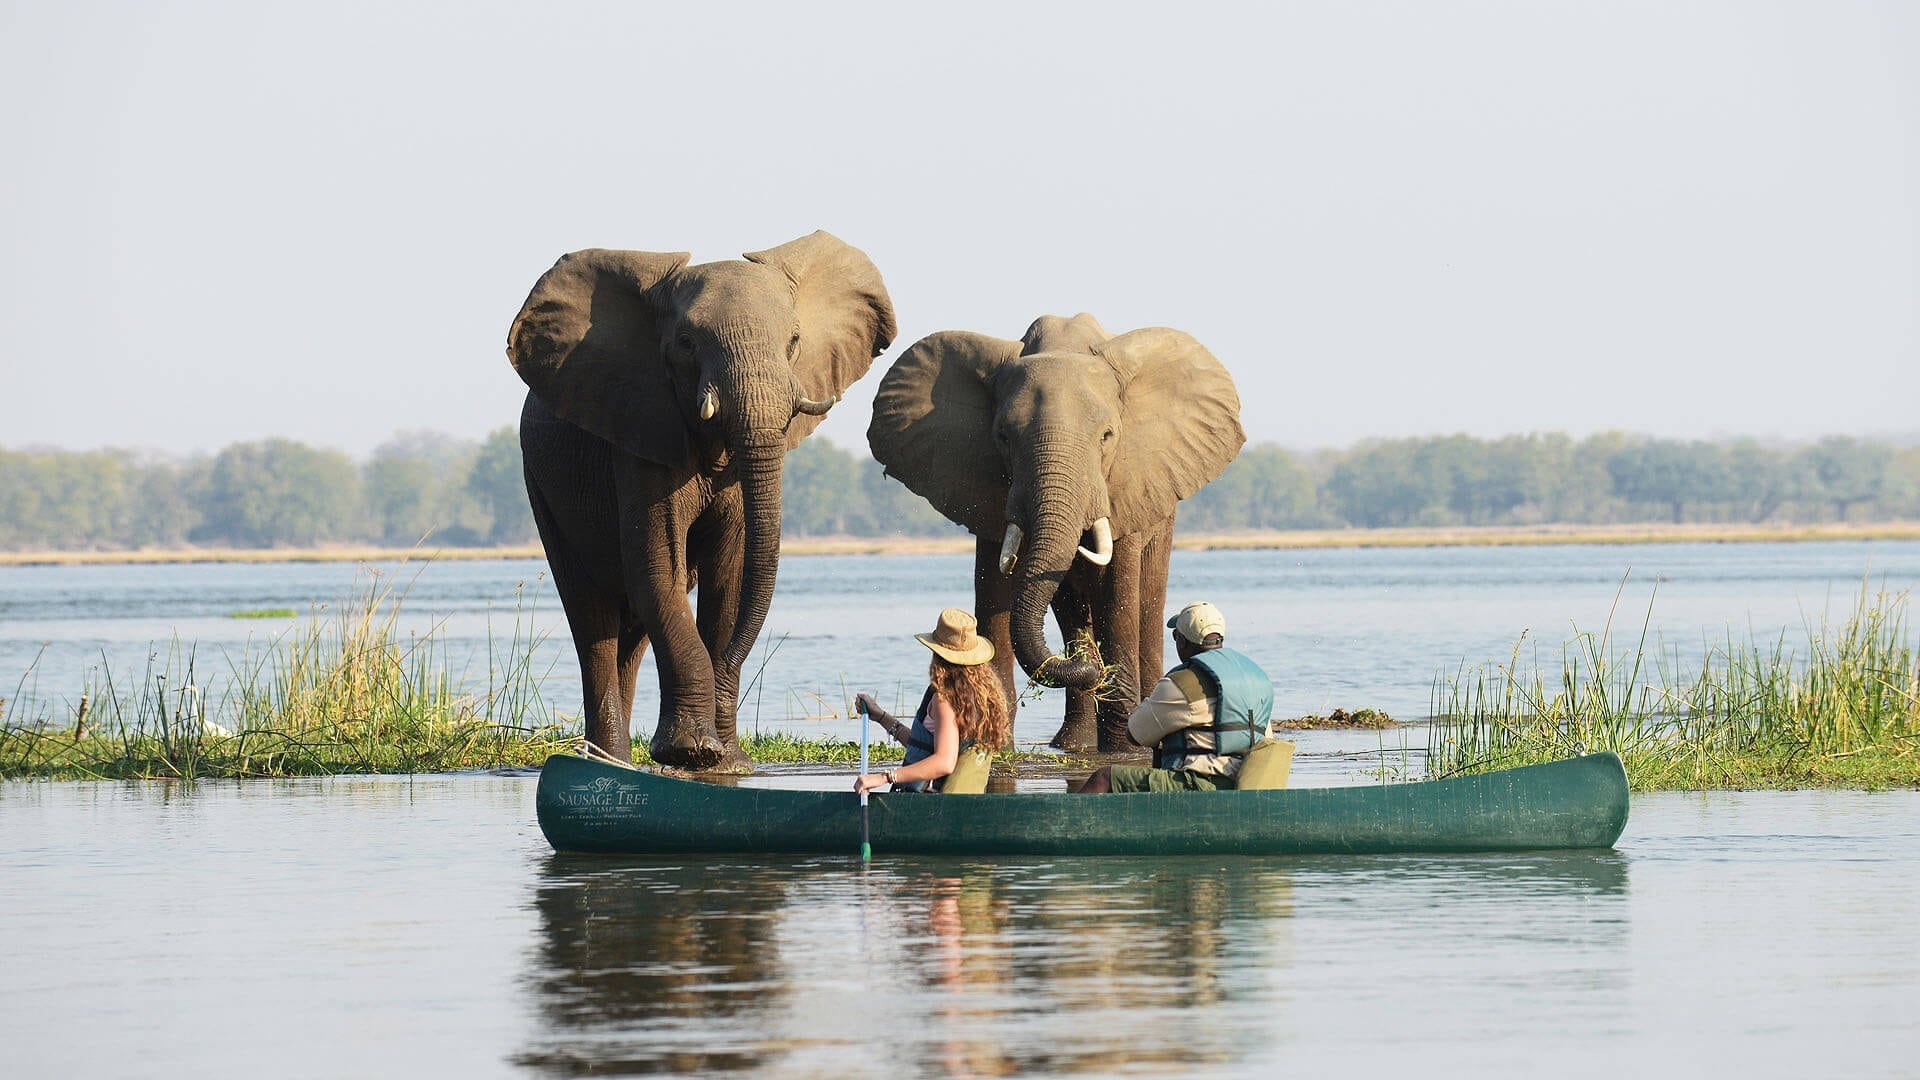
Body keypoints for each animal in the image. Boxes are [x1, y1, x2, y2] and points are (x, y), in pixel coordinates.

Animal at [510, 228, 898, 764]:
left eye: (794, 342)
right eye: (686, 343)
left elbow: (728, 579)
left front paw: (728, 761)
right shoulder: (641, 434)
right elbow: (659, 570)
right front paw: (692, 752)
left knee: (632, 630)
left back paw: (621, 762)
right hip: (542, 487)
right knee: (593, 619)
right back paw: (609, 760)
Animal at [871, 311, 1244, 749]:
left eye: (1107, 436)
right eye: (1003, 436)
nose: (1092, 672)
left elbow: (1118, 591)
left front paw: (1125, 750)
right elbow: (994, 588)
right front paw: (996, 746)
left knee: (1147, 599)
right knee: (1071, 609)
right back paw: (1074, 742)